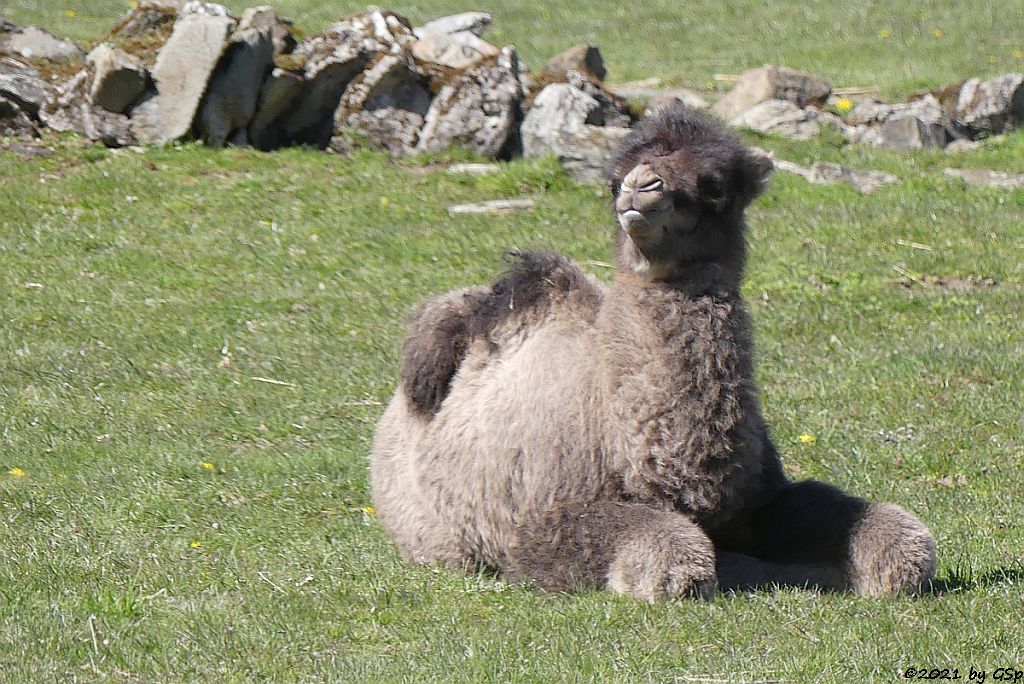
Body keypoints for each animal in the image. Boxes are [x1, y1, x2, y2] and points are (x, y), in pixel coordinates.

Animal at [370, 102, 937, 597]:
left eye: (715, 184)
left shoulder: (761, 499)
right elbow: (672, 552)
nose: (639, 187)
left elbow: (890, 532)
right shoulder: (539, 526)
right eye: (610, 181)